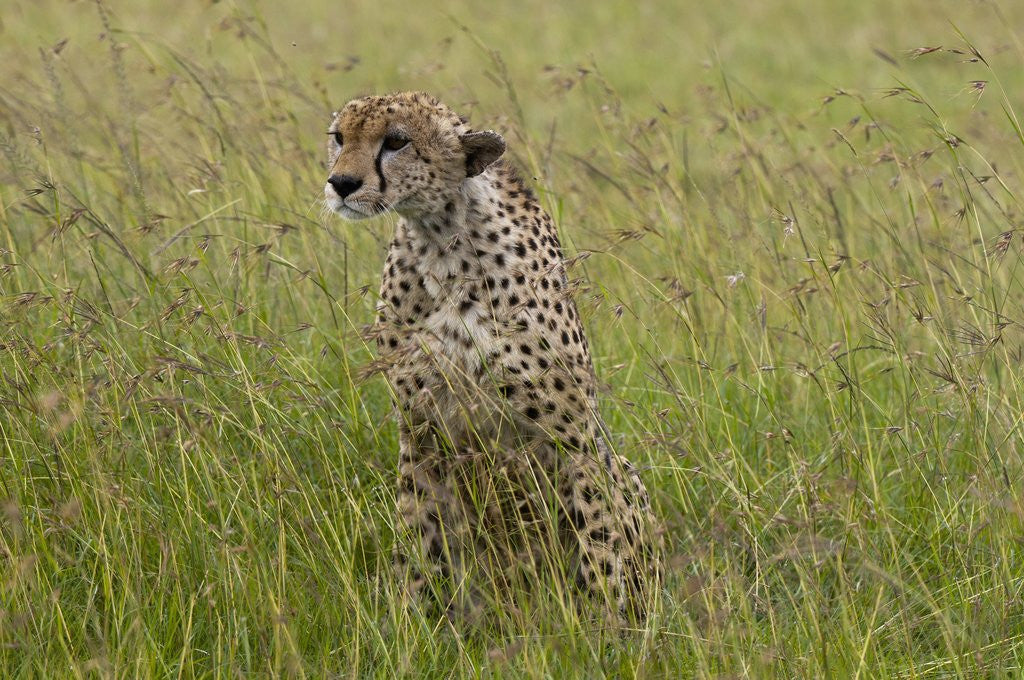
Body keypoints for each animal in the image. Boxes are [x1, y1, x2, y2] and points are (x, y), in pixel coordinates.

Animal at [322, 91, 661, 623]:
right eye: (339, 137)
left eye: (396, 142)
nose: (341, 183)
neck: (441, 240)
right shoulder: (419, 432)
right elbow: (417, 535)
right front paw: (409, 620)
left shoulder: (576, 438)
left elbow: (600, 542)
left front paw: (604, 627)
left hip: (618, 464)